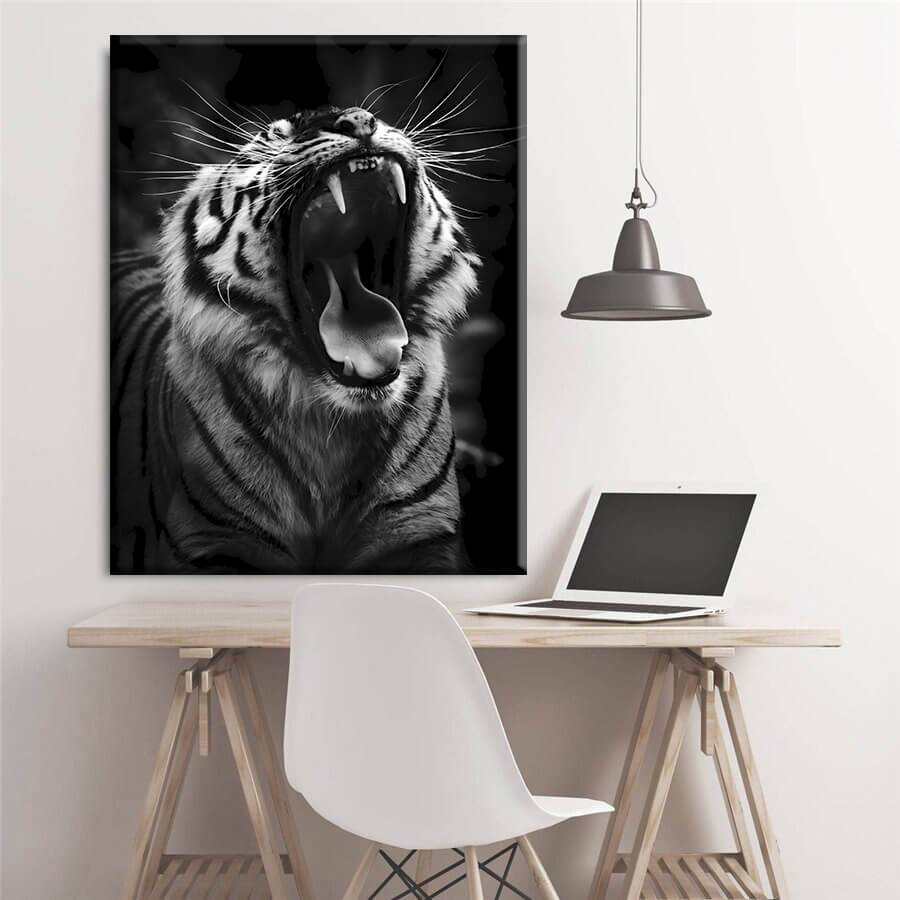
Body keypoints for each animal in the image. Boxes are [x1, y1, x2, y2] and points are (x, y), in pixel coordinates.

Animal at [111, 105, 481, 574]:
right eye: (275, 135)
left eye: (372, 117)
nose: (357, 121)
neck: (333, 425)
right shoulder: (217, 541)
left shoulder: (422, 533)